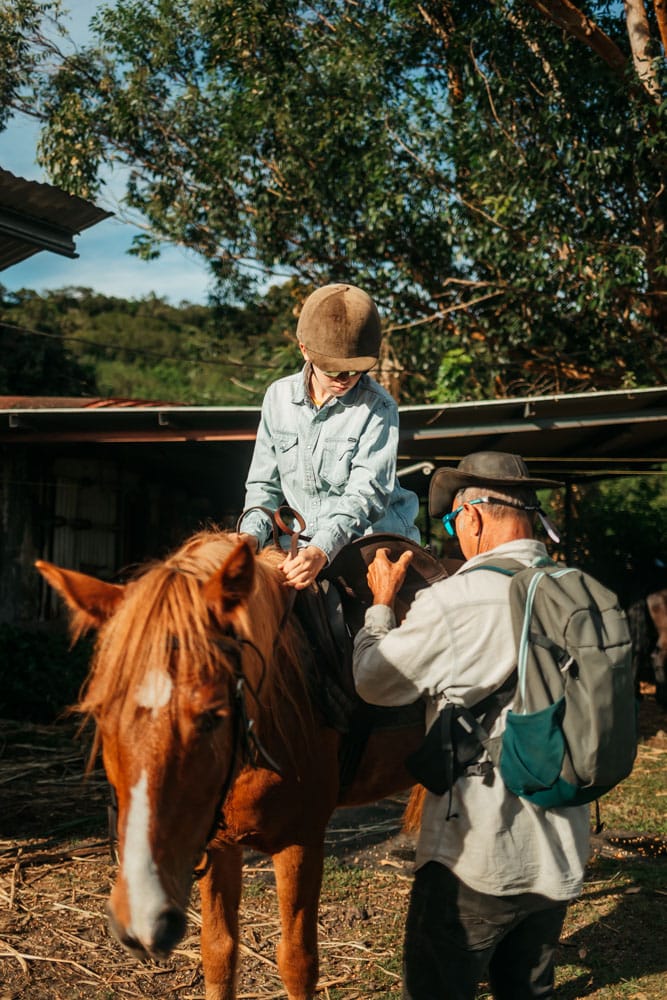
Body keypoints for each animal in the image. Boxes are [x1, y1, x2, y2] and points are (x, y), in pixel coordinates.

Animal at [35, 528, 438, 996]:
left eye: (212, 715)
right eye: (102, 713)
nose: (142, 911)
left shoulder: (301, 842)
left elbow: (297, 961)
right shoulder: (219, 844)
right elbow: (219, 952)